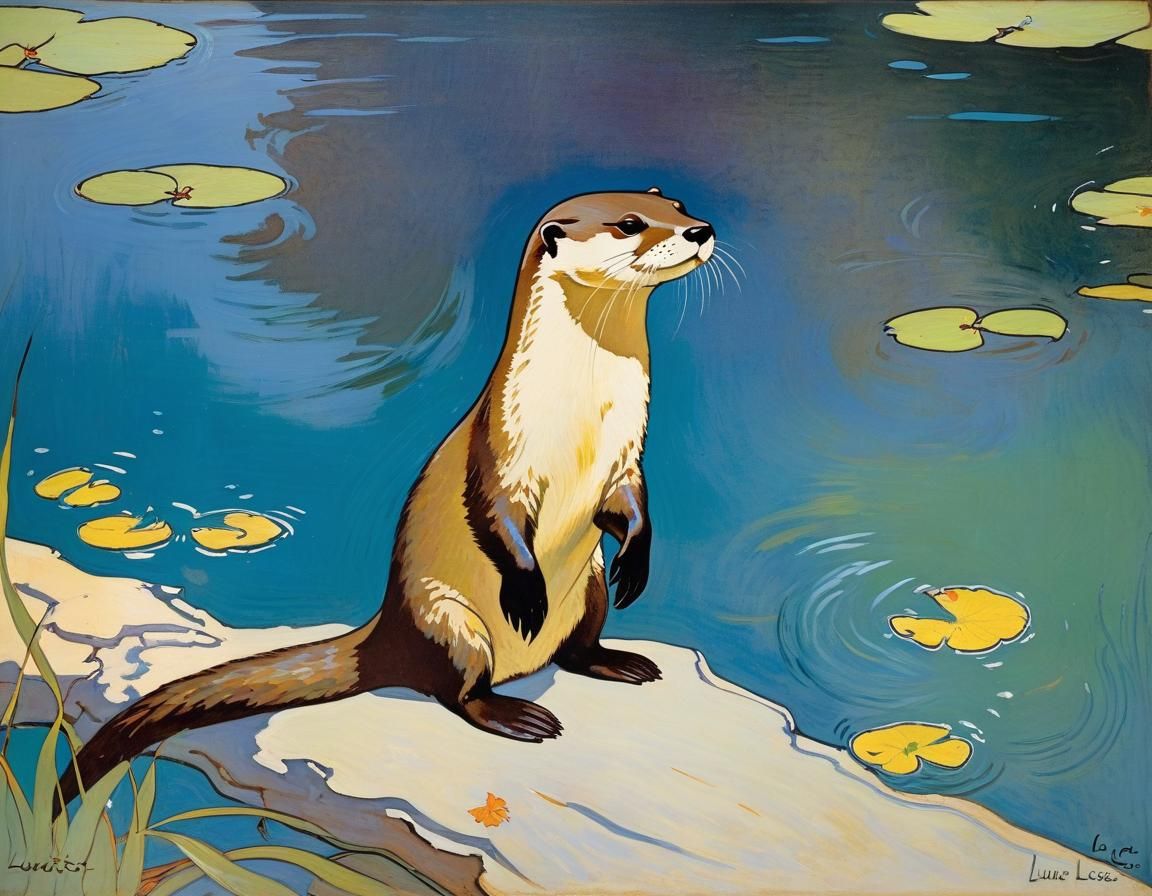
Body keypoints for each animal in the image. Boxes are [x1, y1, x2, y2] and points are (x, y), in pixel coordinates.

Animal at [58, 188, 715, 806]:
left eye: (676, 204)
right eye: (630, 223)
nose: (700, 229)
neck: (584, 419)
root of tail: (386, 631)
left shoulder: (626, 456)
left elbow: (631, 508)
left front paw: (639, 559)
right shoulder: (501, 453)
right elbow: (495, 521)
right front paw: (528, 595)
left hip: (588, 587)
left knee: (575, 648)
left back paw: (618, 661)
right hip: (450, 620)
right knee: (459, 690)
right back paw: (515, 713)